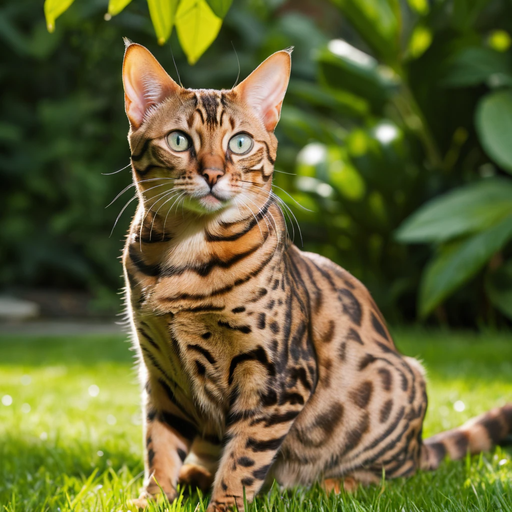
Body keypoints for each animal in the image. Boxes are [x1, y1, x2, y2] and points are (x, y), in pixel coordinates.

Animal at [121, 41, 512, 512]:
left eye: (240, 143)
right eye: (179, 140)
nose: (212, 174)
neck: (186, 255)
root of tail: (419, 446)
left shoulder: (278, 378)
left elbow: (243, 460)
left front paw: (223, 503)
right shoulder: (161, 373)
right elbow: (160, 447)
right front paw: (152, 499)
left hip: (400, 388)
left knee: (394, 478)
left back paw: (327, 487)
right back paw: (197, 475)